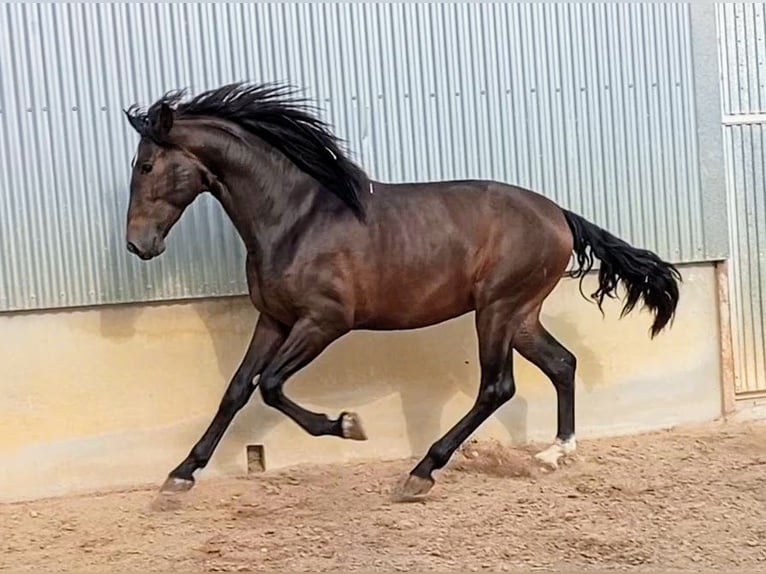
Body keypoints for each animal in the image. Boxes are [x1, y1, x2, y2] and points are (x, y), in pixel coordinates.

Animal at [124, 83, 684, 502]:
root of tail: (559, 215)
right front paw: (179, 475)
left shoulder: (324, 322)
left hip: (497, 309)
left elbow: (272, 386)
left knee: (497, 386)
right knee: (562, 363)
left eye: (146, 165)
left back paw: (421, 472)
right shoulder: (274, 319)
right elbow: (238, 390)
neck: (297, 220)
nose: (137, 244)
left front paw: (348, 425)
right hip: (521, 314)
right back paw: (554, 453)